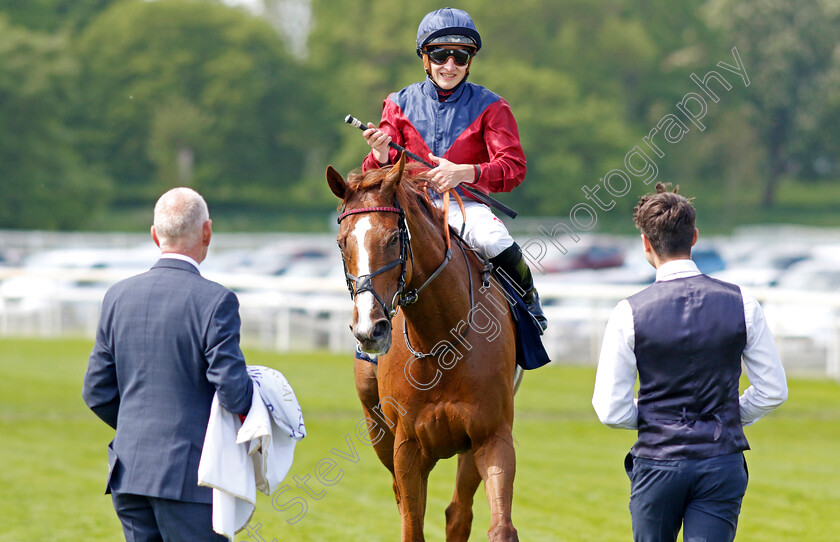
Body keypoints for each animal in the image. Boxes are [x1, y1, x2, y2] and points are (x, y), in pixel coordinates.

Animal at [326, 154, 520, 542]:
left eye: (393, 238)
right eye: (342, 242)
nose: (369, 328)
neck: (440, 341)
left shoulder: (491, 435)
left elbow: (499, 527)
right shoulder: (407, 447)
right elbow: (412, 526)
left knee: (458, 512)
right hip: (379, 430)